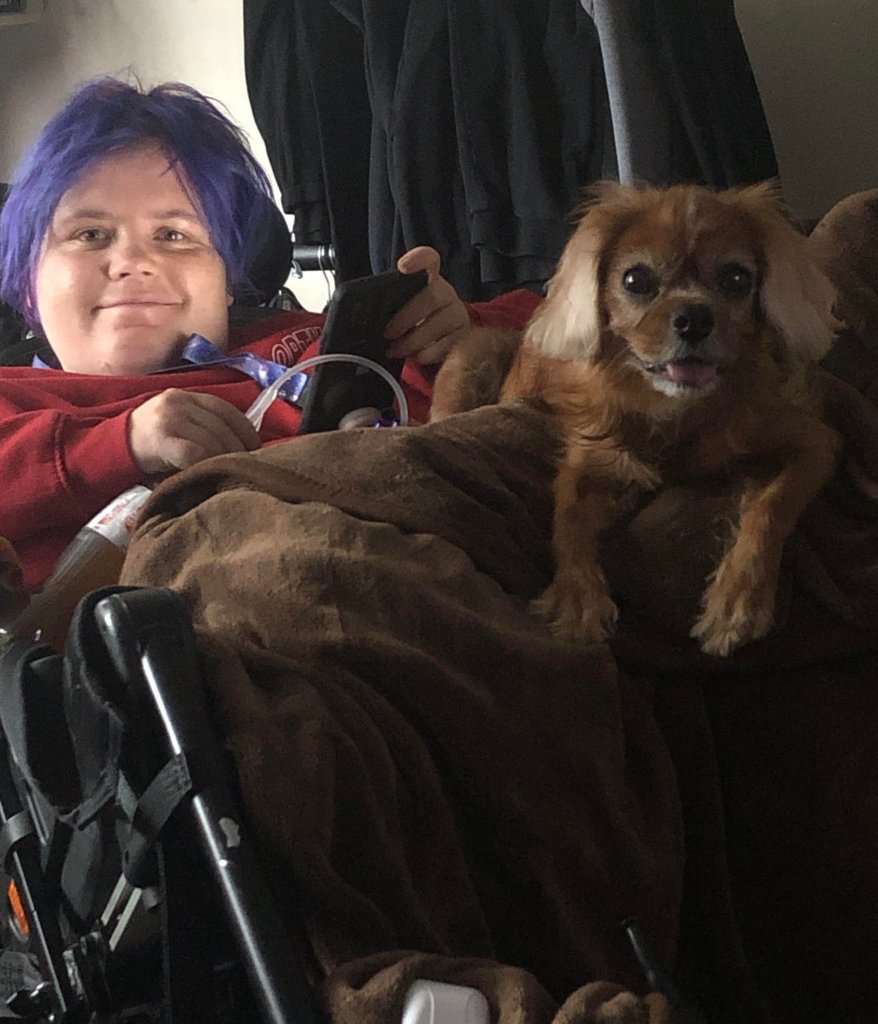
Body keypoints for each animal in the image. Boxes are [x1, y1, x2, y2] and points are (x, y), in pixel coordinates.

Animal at [431, 182, 842, 656]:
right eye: (636, 280)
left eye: (737, 279)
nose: (694, 317)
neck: (677, 411)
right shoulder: (593, 454)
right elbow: (568, 516)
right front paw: (579, 602)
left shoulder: (812, 440)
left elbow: (772, 505)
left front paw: (737, 601)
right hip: (474, 351)